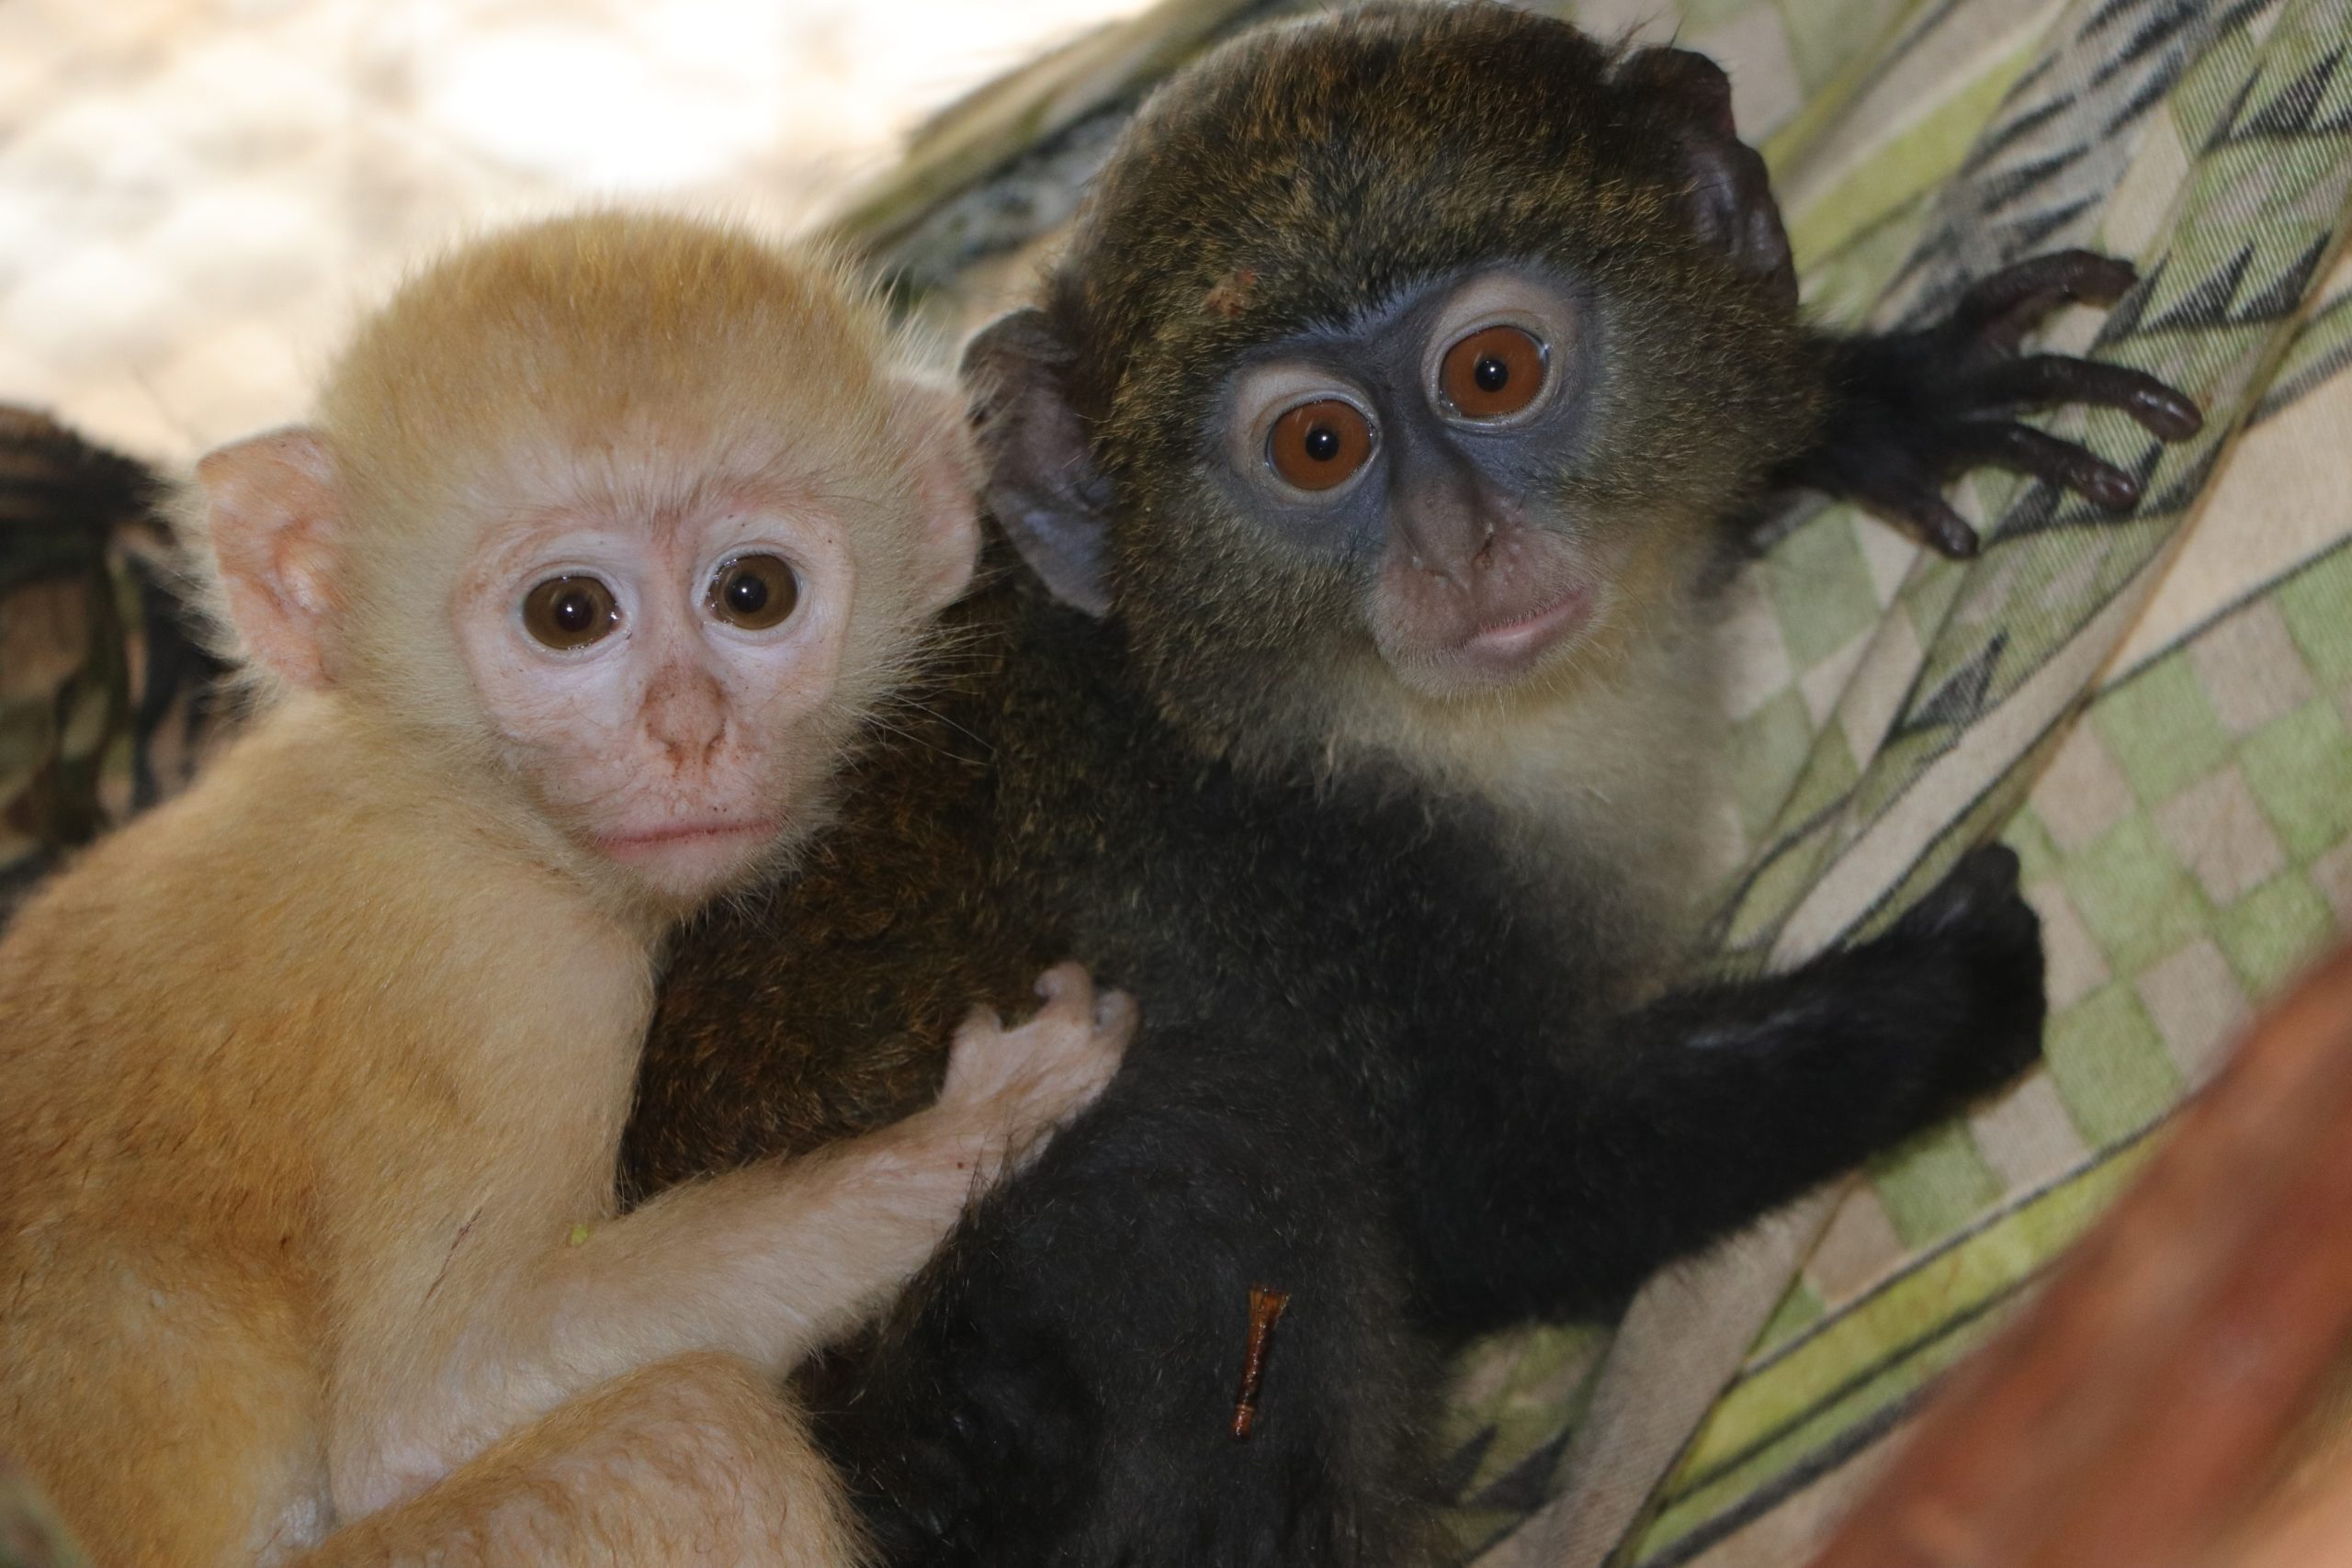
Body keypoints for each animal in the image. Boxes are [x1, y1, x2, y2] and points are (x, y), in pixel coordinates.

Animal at [0, 217, 1128, 1568]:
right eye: (570, 612)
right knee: (700, 1441)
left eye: (753, 592)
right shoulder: (504, 960)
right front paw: (973, 1128)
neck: (444, 779)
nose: (690, 733)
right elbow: (427, 1406)